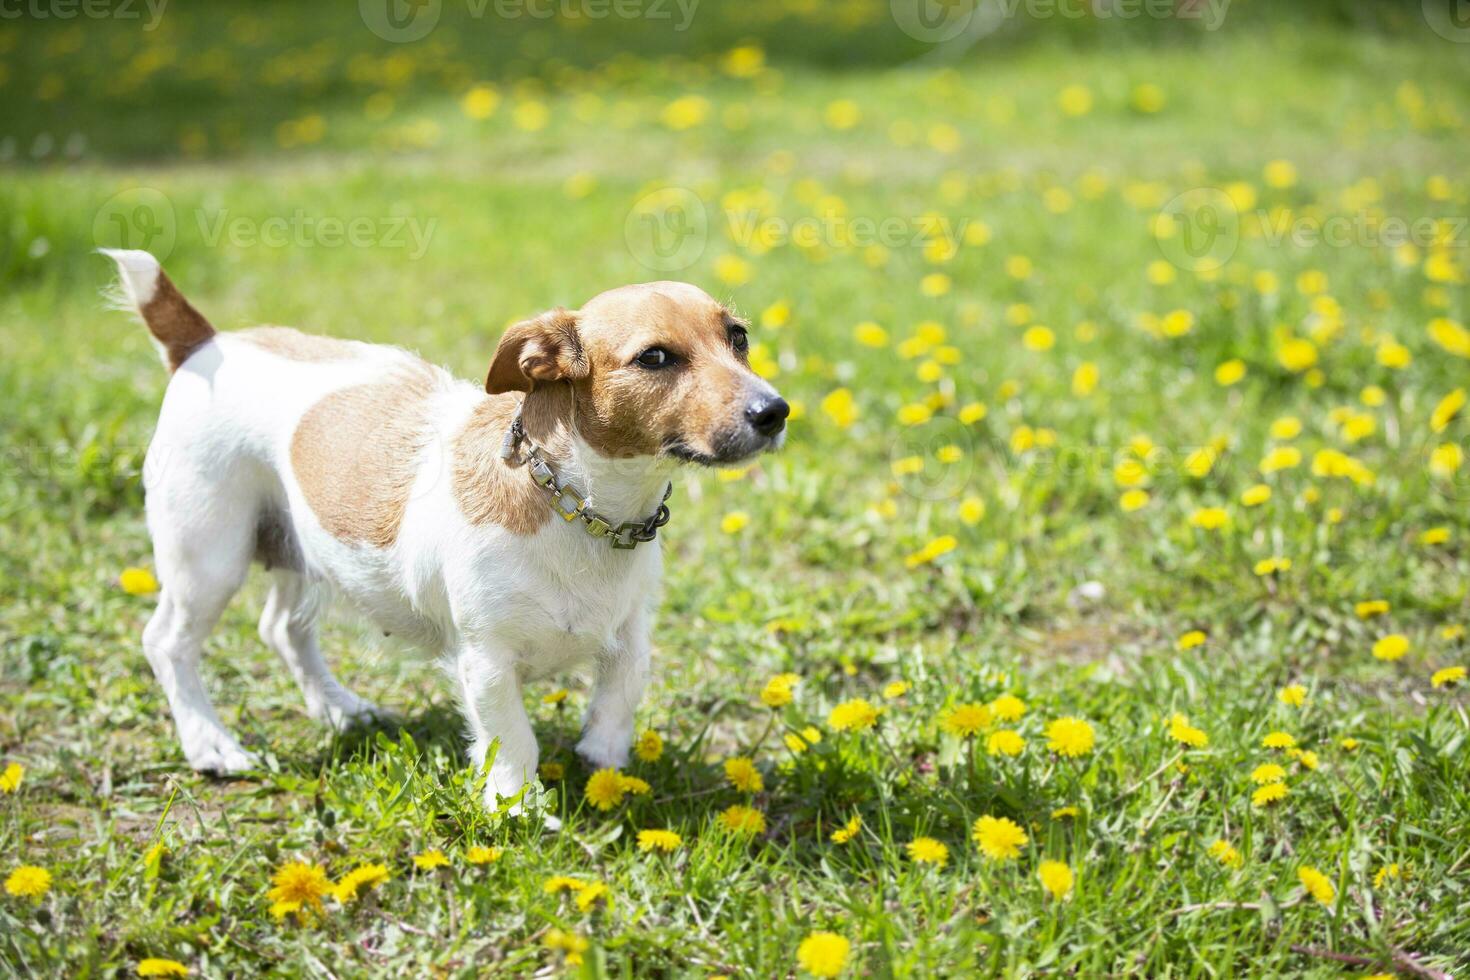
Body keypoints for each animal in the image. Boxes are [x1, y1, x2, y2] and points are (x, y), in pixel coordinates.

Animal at [103, 249, 787, 811]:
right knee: (168, 643)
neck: (582, 510)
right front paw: (518, 809)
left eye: (739, 337)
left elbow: (623, 688)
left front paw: (604, 759)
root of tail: (207, 343)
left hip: (299, 548)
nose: (776, 411)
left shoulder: (629, 631)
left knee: (283, 629)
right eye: (655, 357)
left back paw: (341, 709)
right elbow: (512, 738)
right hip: (207, 556)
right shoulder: (485, 662)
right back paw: (210, 745)